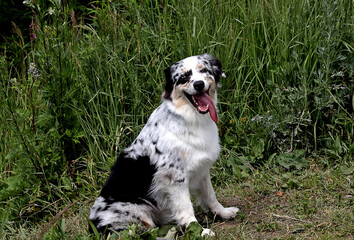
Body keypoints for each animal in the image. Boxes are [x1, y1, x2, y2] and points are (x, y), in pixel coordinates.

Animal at [88, 53, 239, 235]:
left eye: (204, 70)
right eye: (183, 77)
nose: (198, 84)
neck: (190, 119)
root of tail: (93, 224)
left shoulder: (202, 170)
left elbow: (211, 196)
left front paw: (223, 212)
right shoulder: (175, 178)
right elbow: (186, 208)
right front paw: (199, 230)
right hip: (136, 216)